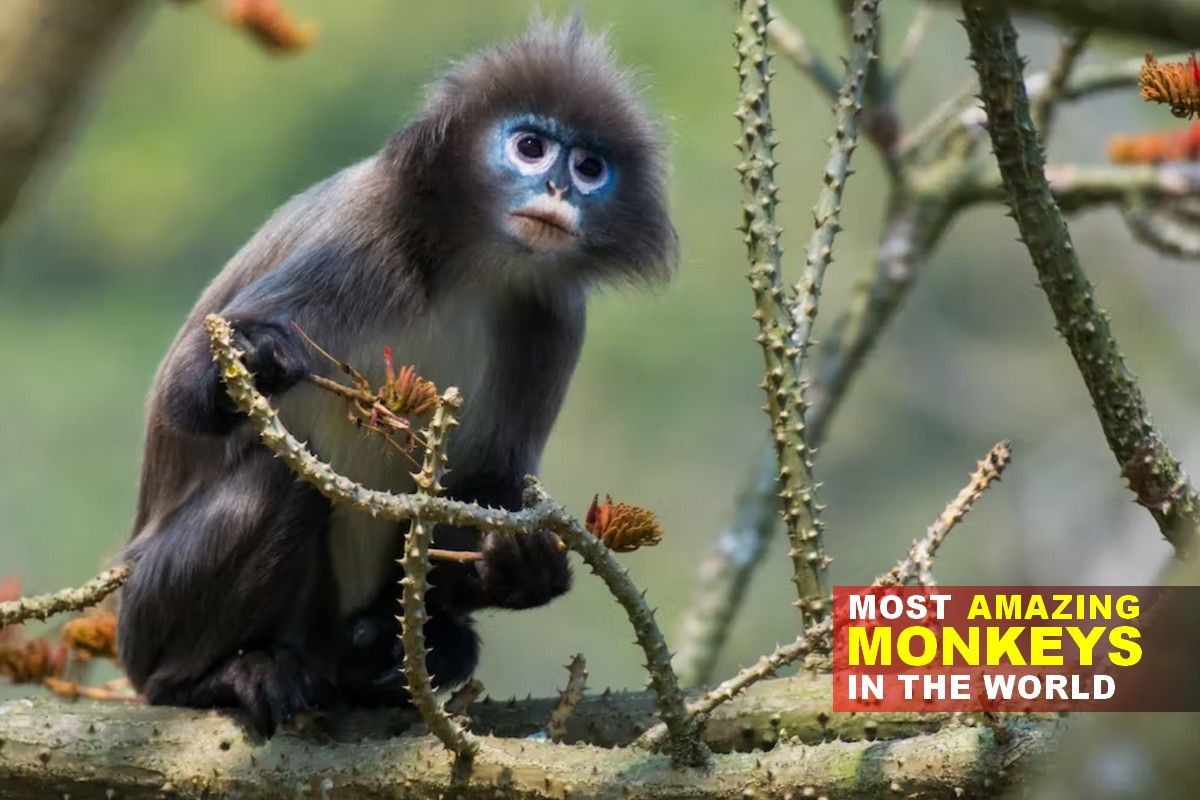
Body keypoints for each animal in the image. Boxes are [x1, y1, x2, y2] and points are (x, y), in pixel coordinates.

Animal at [114, 14, 677, 735]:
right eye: (530, 147)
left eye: (589, 167)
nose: (557, 190)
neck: (469, 265)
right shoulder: (356, 246)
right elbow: (182, 388)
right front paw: (258, 355)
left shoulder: (552, 317)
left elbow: (493, 478)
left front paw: (520, 569)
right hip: (149, 612)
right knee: (280, 480)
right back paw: (211, 678)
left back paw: (397, 656)